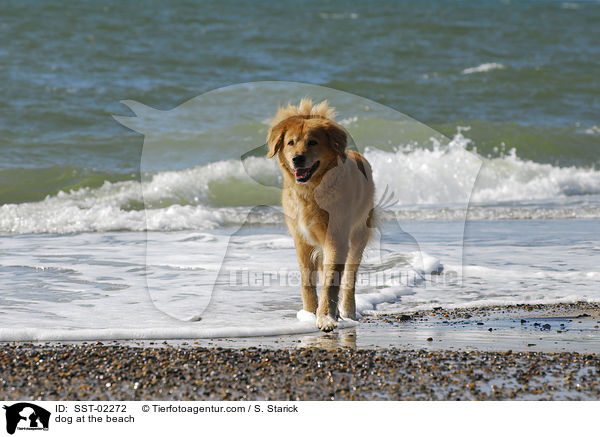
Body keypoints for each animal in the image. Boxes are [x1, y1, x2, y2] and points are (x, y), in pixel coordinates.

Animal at [268, 99, 376, 330]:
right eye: (291, 142)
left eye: (313, 142)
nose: (297, 159)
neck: (311, 192)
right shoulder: (302, 240)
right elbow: (307, 280)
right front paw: (310, 313)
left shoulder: (336, 238)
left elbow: (331, 280)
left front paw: (325, 317)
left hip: (359, 235)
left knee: (349, 278)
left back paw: (348, 311)